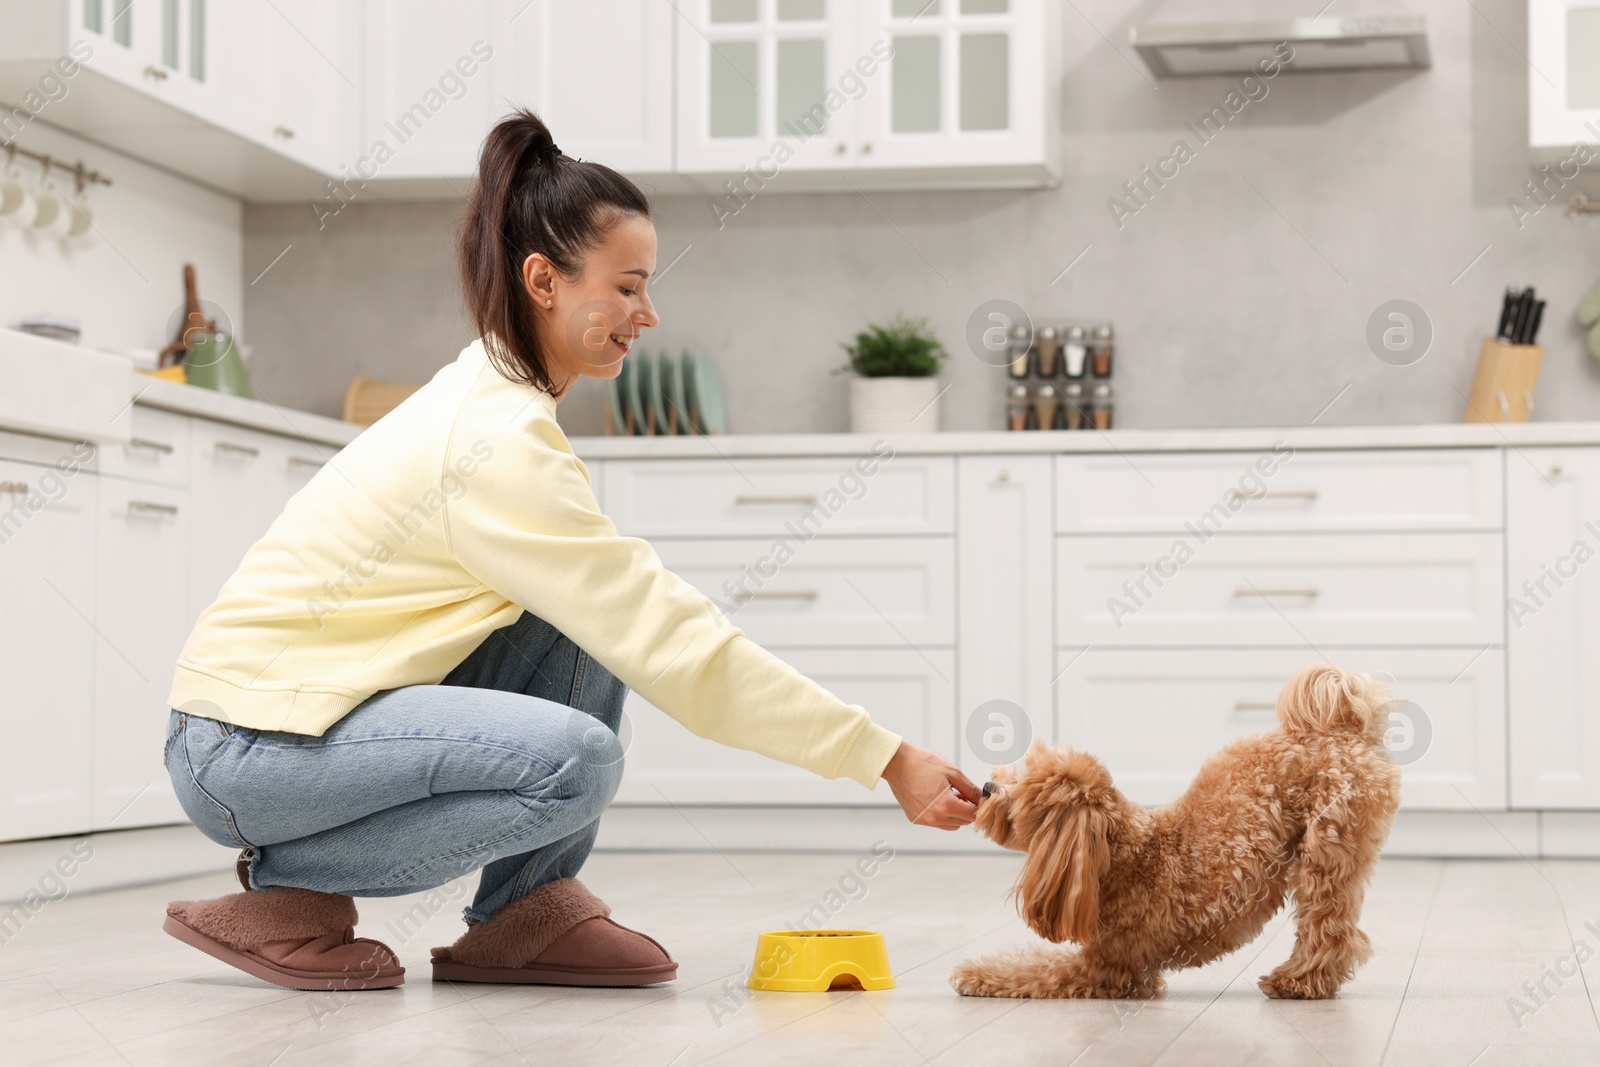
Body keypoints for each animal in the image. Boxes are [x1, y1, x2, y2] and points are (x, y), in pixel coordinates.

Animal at [947, 662, 1401, 1004]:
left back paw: (1297, 982)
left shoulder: (1108, 969)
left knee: (1328, 928)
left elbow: (1032, 970)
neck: (1120, 854)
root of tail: (1344, 731)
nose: (986, 786)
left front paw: (974, 972)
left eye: (1022, 794)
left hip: (1329, 844)